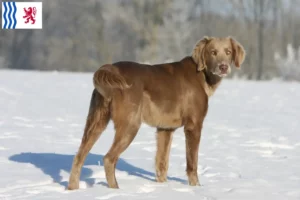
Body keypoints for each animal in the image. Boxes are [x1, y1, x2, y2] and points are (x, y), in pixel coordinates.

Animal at [68, 35, 246, 189]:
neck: (202, 75)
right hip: (130, 125)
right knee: (108, 159)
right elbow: (192, 163)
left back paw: (73, 189)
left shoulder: (165, 129)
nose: (223, 67)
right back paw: (116, 189)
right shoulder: (194, 125)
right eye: (213, 52)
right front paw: (196, 188)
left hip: (97, 121)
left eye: (228, 52)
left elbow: (161, 163)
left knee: (79, 156)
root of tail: (111, 69)